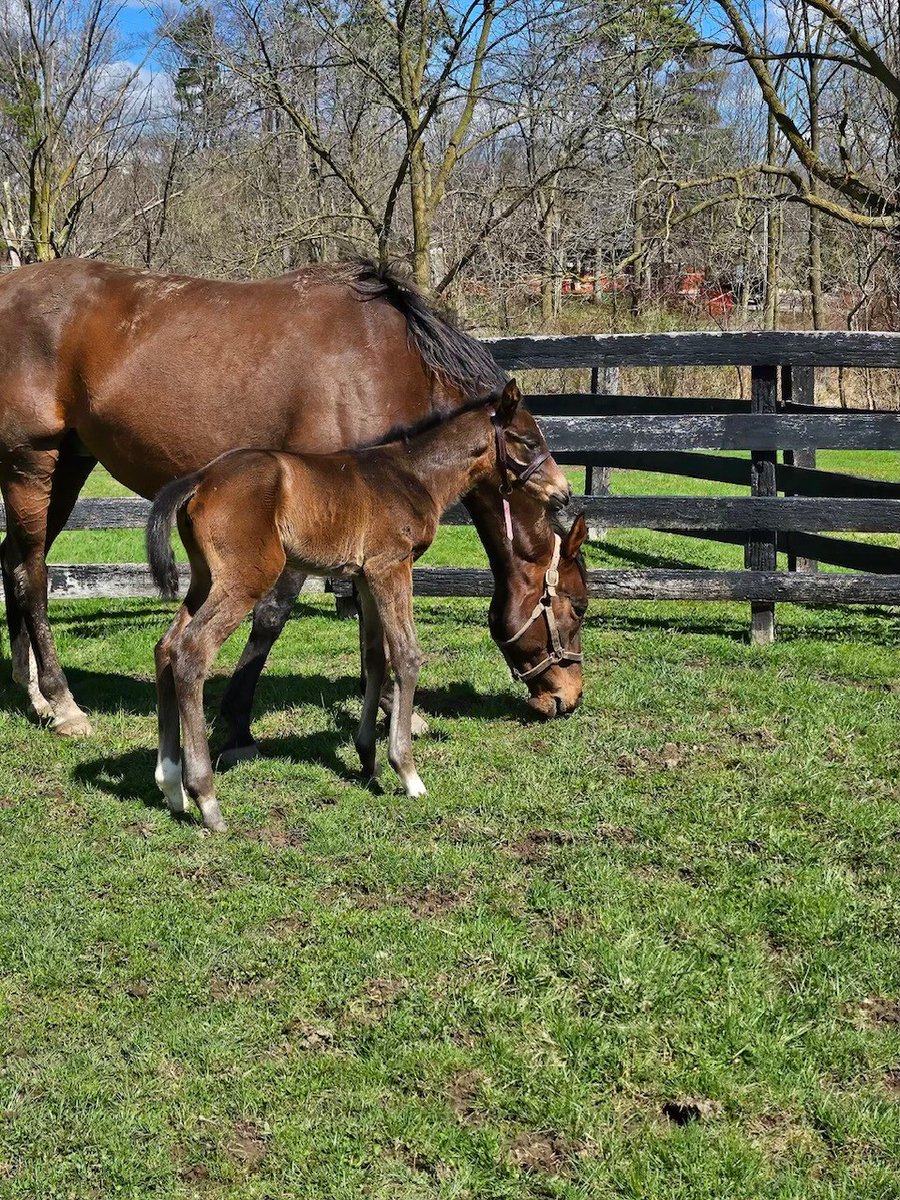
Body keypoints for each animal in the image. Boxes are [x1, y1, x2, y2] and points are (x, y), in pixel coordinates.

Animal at [0, 258, 588, 744]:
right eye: (578, 605)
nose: (567, 697)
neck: (379, 362)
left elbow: (371, 620)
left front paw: (393, 705)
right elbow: (273, 615)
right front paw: (236, 717)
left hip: (69, 465)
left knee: (14, 563)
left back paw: (32, 695)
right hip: (31, 465)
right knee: (32, 574)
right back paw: (63, 703)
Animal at [144, 379, 580, 830]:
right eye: (527, 441)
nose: (564, 493)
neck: (414, 475)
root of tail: (200, 479)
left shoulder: (365, 576)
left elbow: (374, 658)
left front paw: (368, 758)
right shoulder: (392, 566)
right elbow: (406, 655)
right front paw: (406, 771)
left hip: (204, 580)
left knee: (166, 647)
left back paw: (171, 785)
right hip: (244, 579)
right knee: (191, 651)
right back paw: (206, 798)